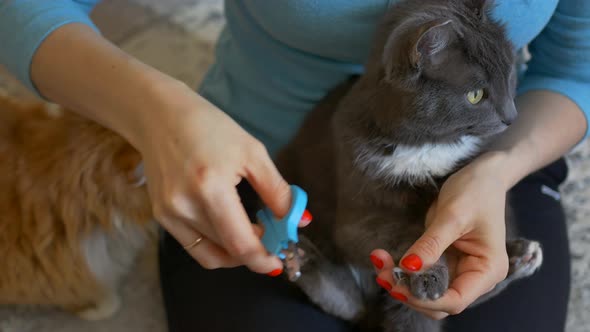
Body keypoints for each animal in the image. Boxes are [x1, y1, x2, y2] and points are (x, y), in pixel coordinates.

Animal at [278, 0, 544, 332]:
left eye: (509, 75)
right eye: (475, 95)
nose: (512, 117)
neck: (426, 145)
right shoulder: (359, 194)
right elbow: (401, 237)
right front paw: (427, 274)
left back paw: (521, 256)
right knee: (350, 304)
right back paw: (300, 257)